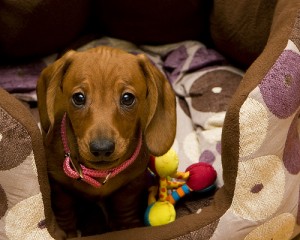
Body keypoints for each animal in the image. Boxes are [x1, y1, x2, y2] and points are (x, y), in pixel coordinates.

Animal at [36, 46, 176, 237]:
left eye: (127, 98)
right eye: (79, 98)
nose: (101, 148)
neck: (99, 174)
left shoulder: (132, 183)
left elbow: (125, 207)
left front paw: (128, 226)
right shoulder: (59, 186)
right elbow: (64, 210)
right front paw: (65, 231)